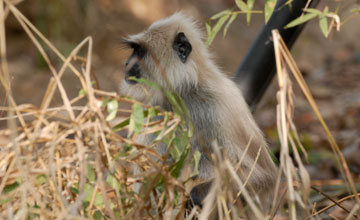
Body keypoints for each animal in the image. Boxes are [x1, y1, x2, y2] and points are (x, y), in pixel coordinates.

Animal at [119, 12, 278, 215]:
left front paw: (195, 196)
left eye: (140, 52)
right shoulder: (158, 110)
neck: (185, 91)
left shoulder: (220, 105)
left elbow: (264, 177)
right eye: (134, 50)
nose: (126, 63)